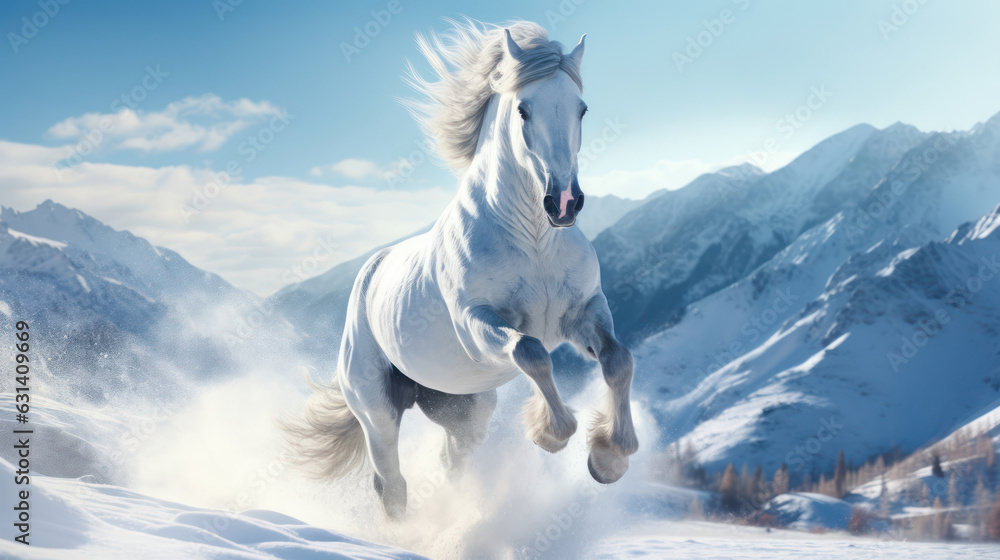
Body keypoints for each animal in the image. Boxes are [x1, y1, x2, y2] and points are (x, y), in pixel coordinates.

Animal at [286, 20, 636, 520]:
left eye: (582, 108)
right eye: (523, 109)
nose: (565, 202)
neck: (534, 243)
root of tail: (369, 274)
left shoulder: (583, 312)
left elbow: (619, 361)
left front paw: (609, 458)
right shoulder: (478, 323)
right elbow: (531, 351)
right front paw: (551, 435)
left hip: (464, 407)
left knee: (452, 461)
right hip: (376, 410)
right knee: (391, 483)